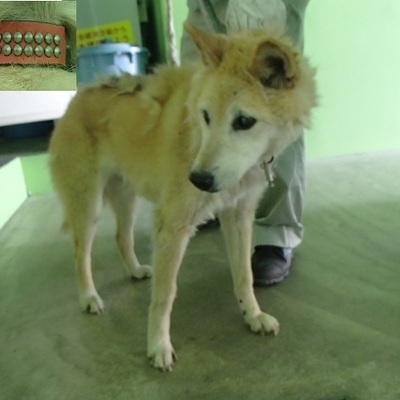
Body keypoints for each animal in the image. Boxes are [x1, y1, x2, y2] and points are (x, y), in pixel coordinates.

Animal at [49, 22, 317, 371]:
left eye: (244, 121)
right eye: (205, 116)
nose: (198, 180)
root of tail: (77, 97)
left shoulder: (238, 216)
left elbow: (243, 274)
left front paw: (253, 315)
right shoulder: (173, 226)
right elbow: (165, 295)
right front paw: (158, 345)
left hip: (127, 198)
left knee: (122, 237)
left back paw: (135, 270)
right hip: (88, 207)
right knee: (81, 254)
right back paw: (89, 297)